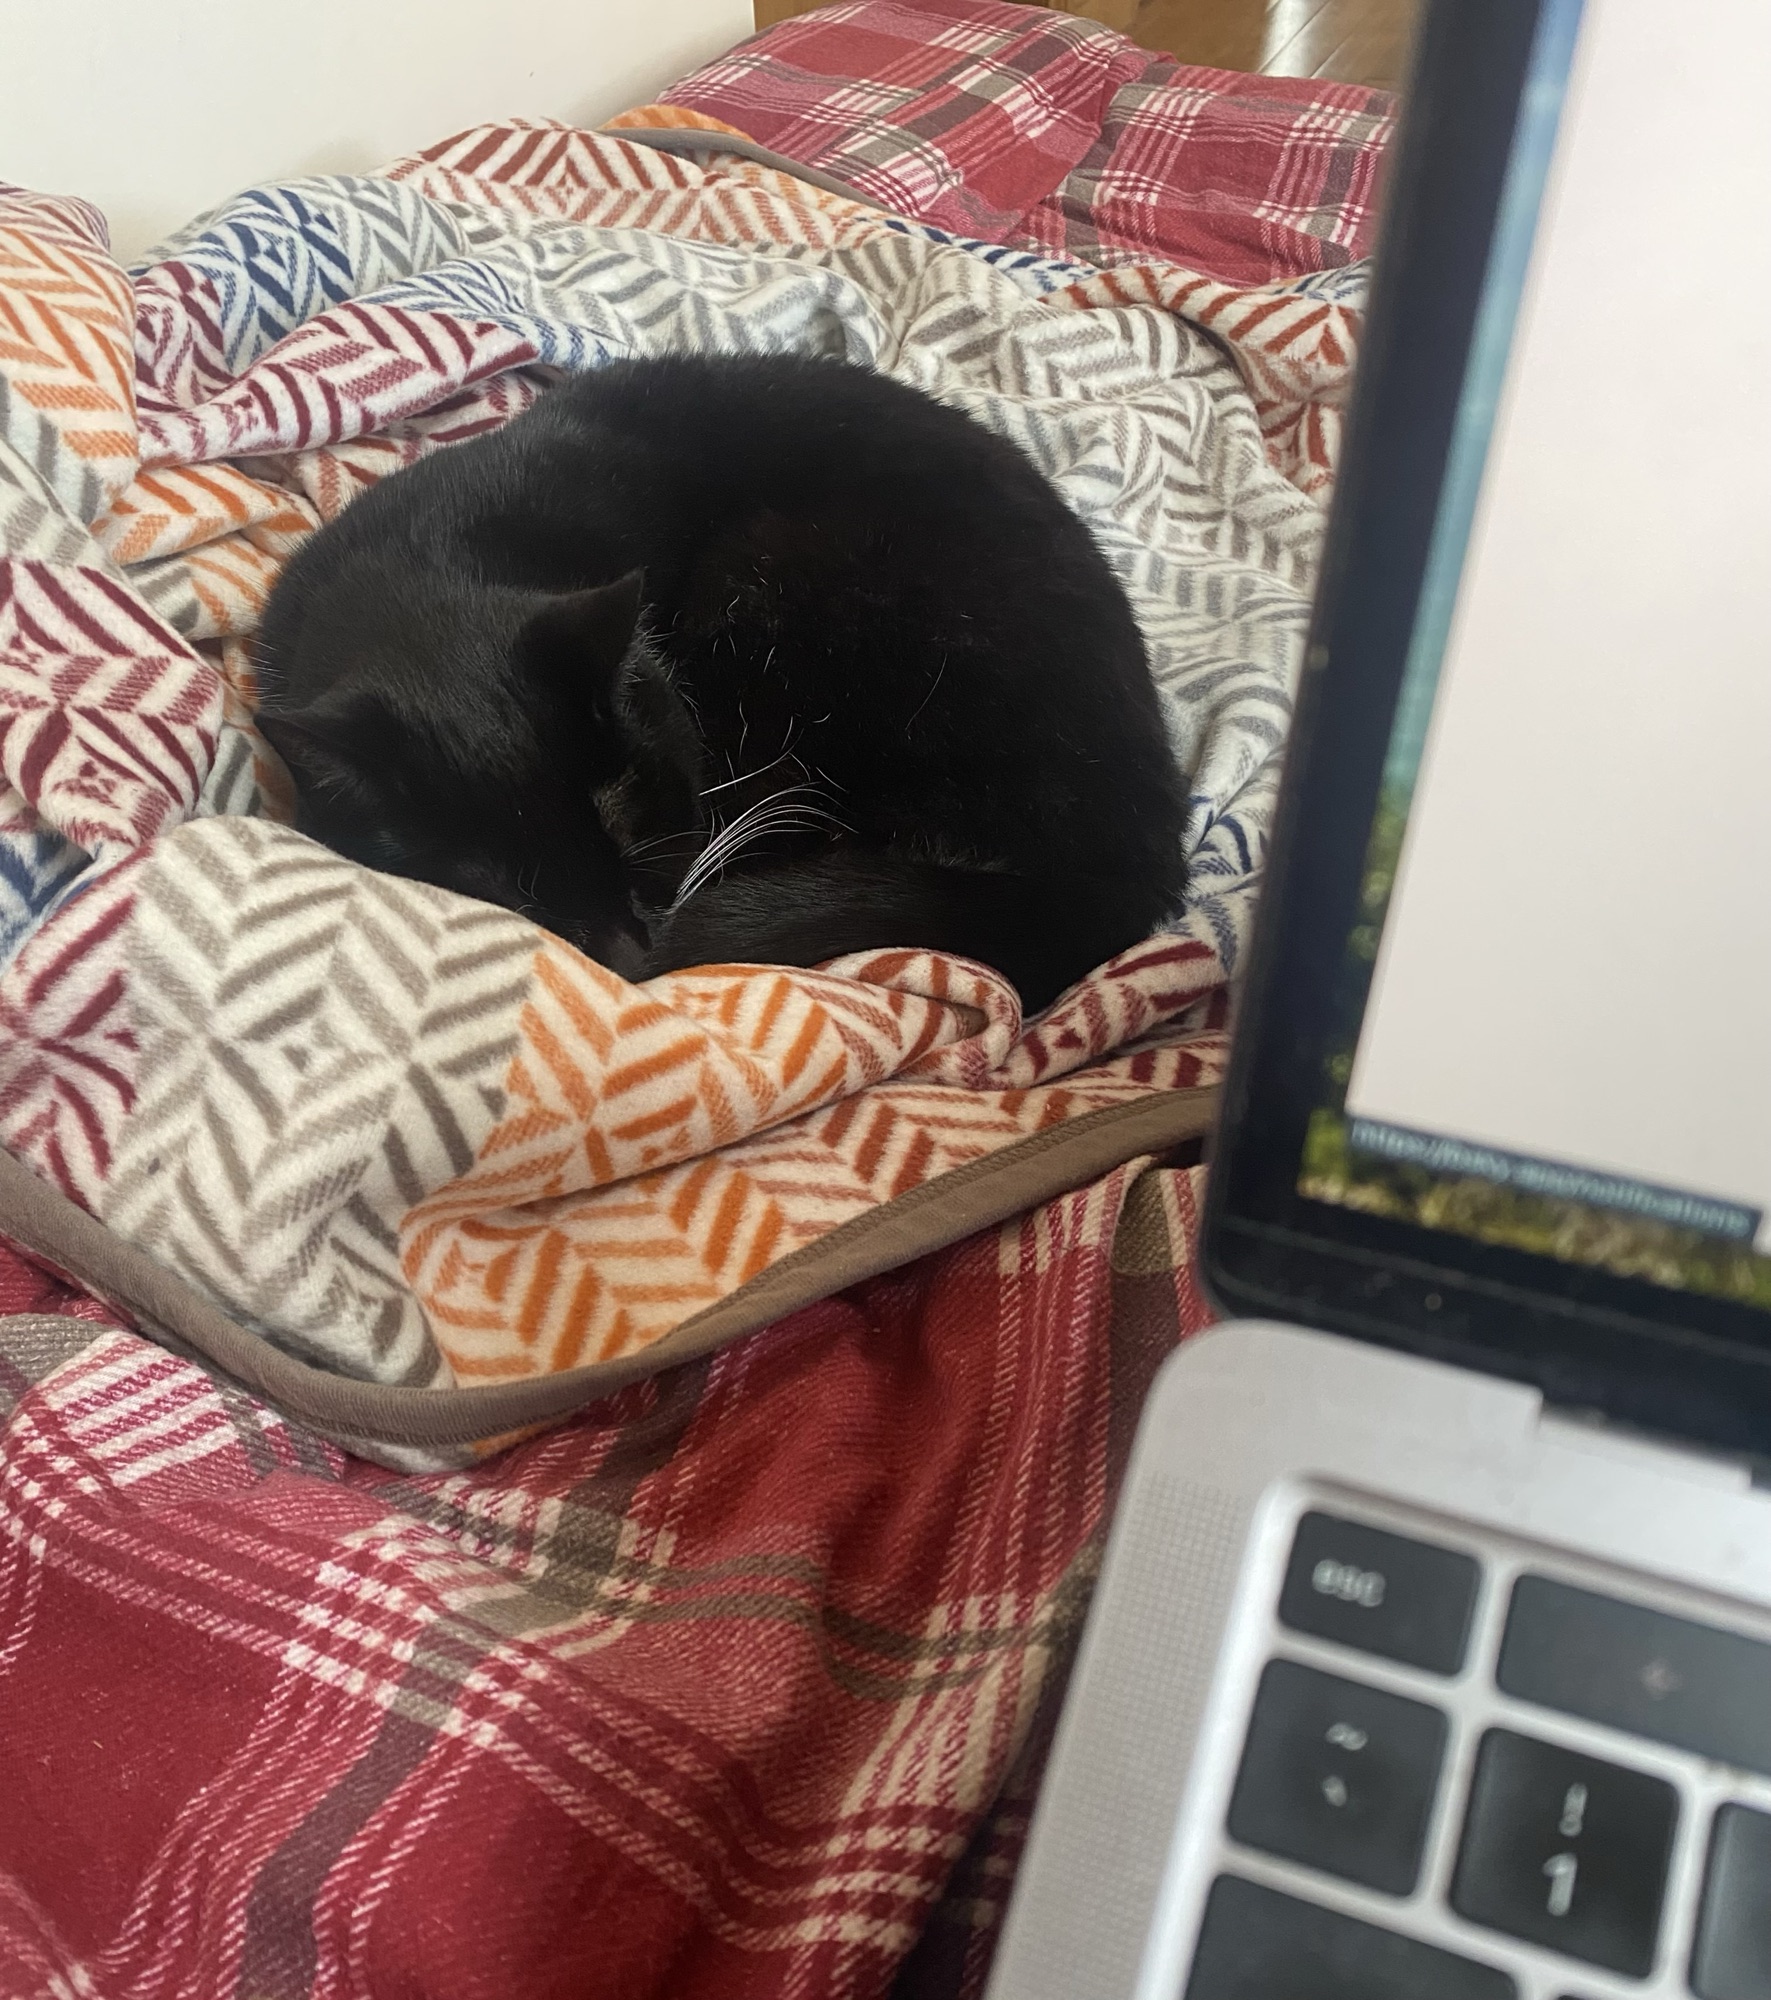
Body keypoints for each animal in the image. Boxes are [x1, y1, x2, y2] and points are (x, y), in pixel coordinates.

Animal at [254, 354, 1188, 1013]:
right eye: (501, 887)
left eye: (627, 820)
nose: (634, 961)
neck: (416, 567)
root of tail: (1130, 866)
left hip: (785, 584)